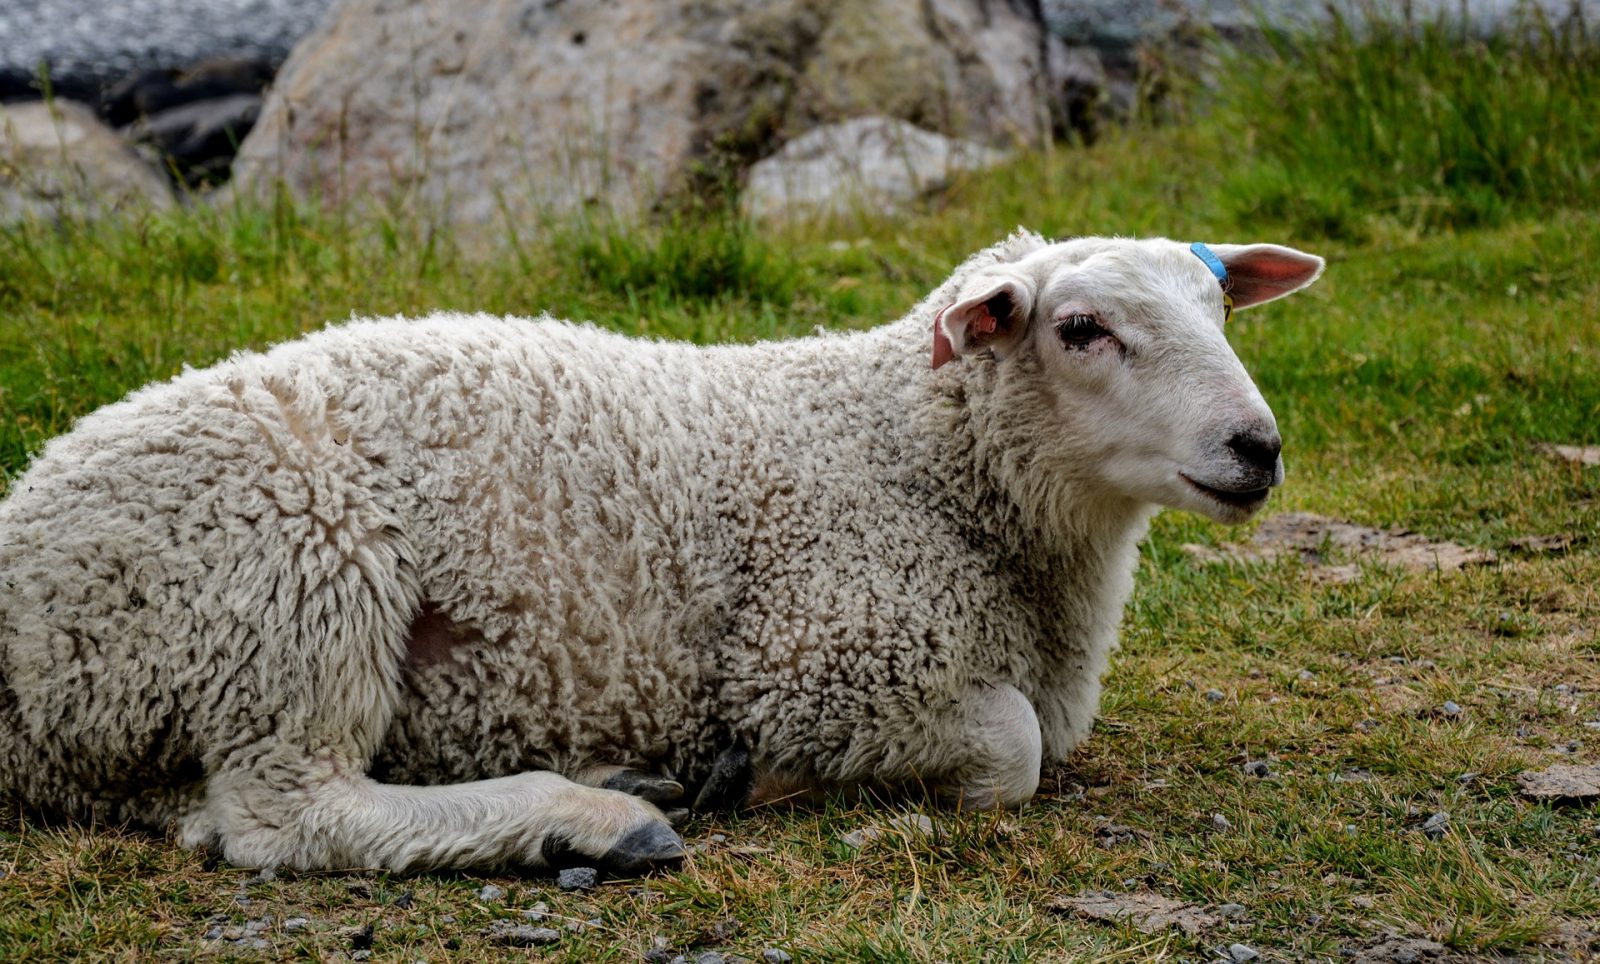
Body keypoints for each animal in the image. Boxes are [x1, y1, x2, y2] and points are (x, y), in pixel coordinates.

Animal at [0, 227, 1324, 871]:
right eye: (1081, 327)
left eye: (1218, 307)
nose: (1255, 447)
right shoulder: (820, 655)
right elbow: (1016, 748)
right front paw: (769, 776)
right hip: (292, 574)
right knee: (285, 815)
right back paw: (589, 822)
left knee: (204, 808)